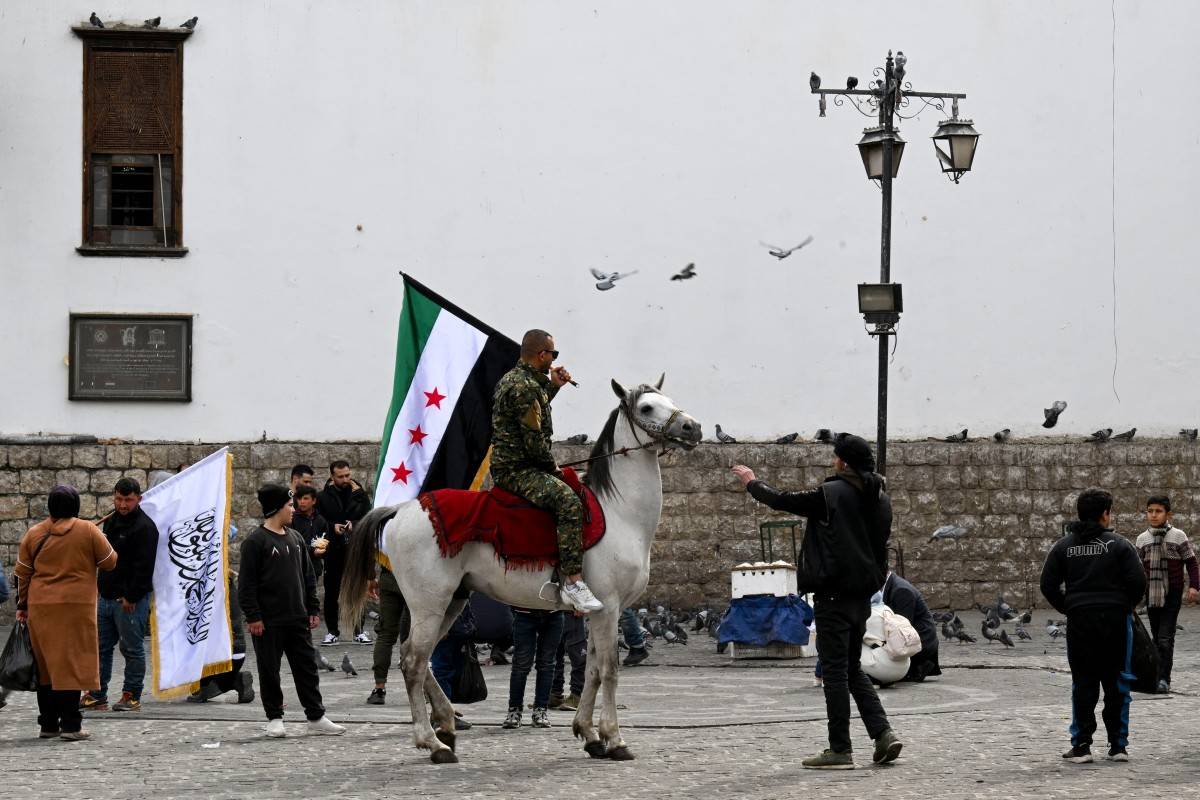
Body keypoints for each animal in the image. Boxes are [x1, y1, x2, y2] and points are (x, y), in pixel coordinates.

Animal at [339, 376, 701, 763]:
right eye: (647, 407)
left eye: (669, 399)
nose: (693, 428)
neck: (619, 513)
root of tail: (403, 508)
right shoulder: (609, 608)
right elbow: (608, 670)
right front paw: (614, 739)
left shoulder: (600, 613)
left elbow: (590, 669)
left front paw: (588, 734)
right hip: (429, 604)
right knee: (413, 662)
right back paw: (433, 742)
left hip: (452, 602)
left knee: (421, 661)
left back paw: (447, 724)